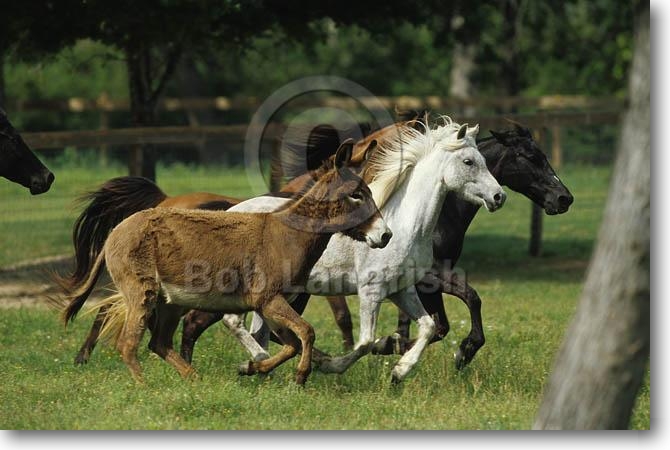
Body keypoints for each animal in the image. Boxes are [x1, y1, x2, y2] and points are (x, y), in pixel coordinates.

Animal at [54, 141, 391, 385]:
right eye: (357, 195)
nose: (385, 235)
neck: (288, 234)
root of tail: (116, 231)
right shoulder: (267, 298)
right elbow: (306, 332)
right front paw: (299, 375)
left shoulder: (270, 304)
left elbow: (292, 342)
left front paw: (252, 368)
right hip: (143, 293)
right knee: (129, 343)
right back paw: (144, 386)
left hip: (170, 301)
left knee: (159, 343)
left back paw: (193, 379)